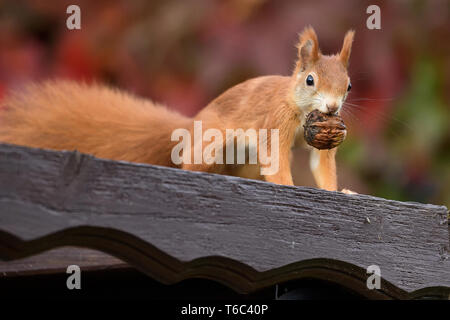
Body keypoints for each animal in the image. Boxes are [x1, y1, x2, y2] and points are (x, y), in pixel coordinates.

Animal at [1, 26, 356, 192]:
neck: (297, 106)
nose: (332, 106)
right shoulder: (275, 121)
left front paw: (341, 192)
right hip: (209, 146)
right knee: (193, 165)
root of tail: (190, 125)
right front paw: (286, 186)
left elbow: (322, 164)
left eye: (348, 86)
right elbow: (276, 158)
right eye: (310, 80)